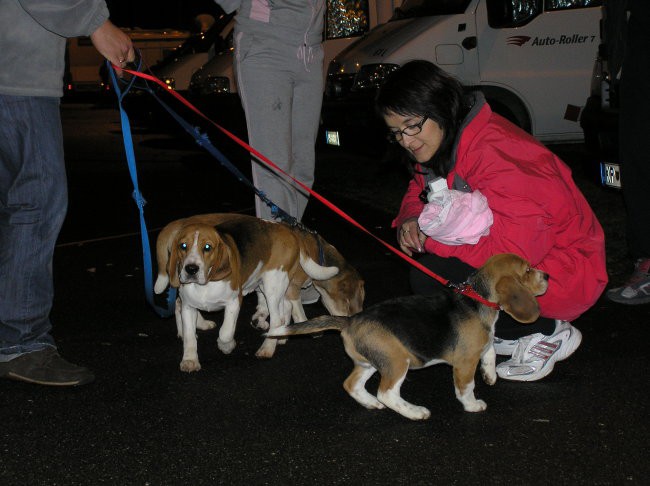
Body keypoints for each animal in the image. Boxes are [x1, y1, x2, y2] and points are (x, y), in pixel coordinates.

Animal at [154, 214, 362, 372]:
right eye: (183, 246)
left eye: (207, 247)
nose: (191, 269)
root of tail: (287, 231)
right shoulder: (190, 305)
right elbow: (191, 337)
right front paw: (190, 359)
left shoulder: (235, 300)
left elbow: (226, 332)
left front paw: (227, 345)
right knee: (180, 306)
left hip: (273, 284)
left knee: (277, 317)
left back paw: (268, 345)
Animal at [268, 254, 548, 422]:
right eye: (528, 270)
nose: (547, 276)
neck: (476, 297)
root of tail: (351, 320)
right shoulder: (465, 361)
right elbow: (466, 386)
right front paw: (472, 405)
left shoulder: (481, 344)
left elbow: (489, 347)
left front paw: (490, 374)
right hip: (396, 361)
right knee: (387, 393)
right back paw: (415, 412)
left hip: (370, 362)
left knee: (352, 384)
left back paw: (370, 403)